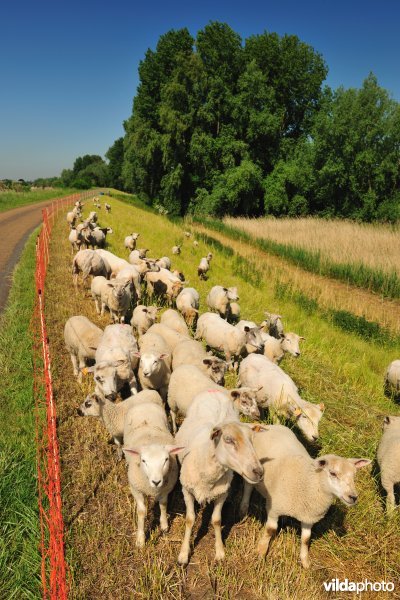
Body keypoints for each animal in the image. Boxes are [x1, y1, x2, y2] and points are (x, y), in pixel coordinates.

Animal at [123, 396, 183, 548]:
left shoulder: (166, 488)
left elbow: (163, 504)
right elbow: (141, 511)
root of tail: (144, 404)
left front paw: (164, 525)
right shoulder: (136, 489)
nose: (156, 481)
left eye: (166, 459)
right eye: (143, 460)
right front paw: (140, 539)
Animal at [176, 396, 266, 564]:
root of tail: (215, 392)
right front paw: (184, 554)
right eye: (228, 440)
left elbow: (217, 520)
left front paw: (219, 552)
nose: (259, 471)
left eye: (252, 440)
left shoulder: (222, 493)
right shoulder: (186, 490)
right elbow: (190, 519)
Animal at [238, 424, 372, 568]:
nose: (353, 497)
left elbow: (306, 539)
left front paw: (305, 562)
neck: (309, 482)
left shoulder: (309, 517)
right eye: (333, 473)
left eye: (354, 475)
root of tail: (268, 426)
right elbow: (270, 530)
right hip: (251, 470)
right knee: (248, 487)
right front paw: (261, 552)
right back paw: (243, 509)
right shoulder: (274, 509)